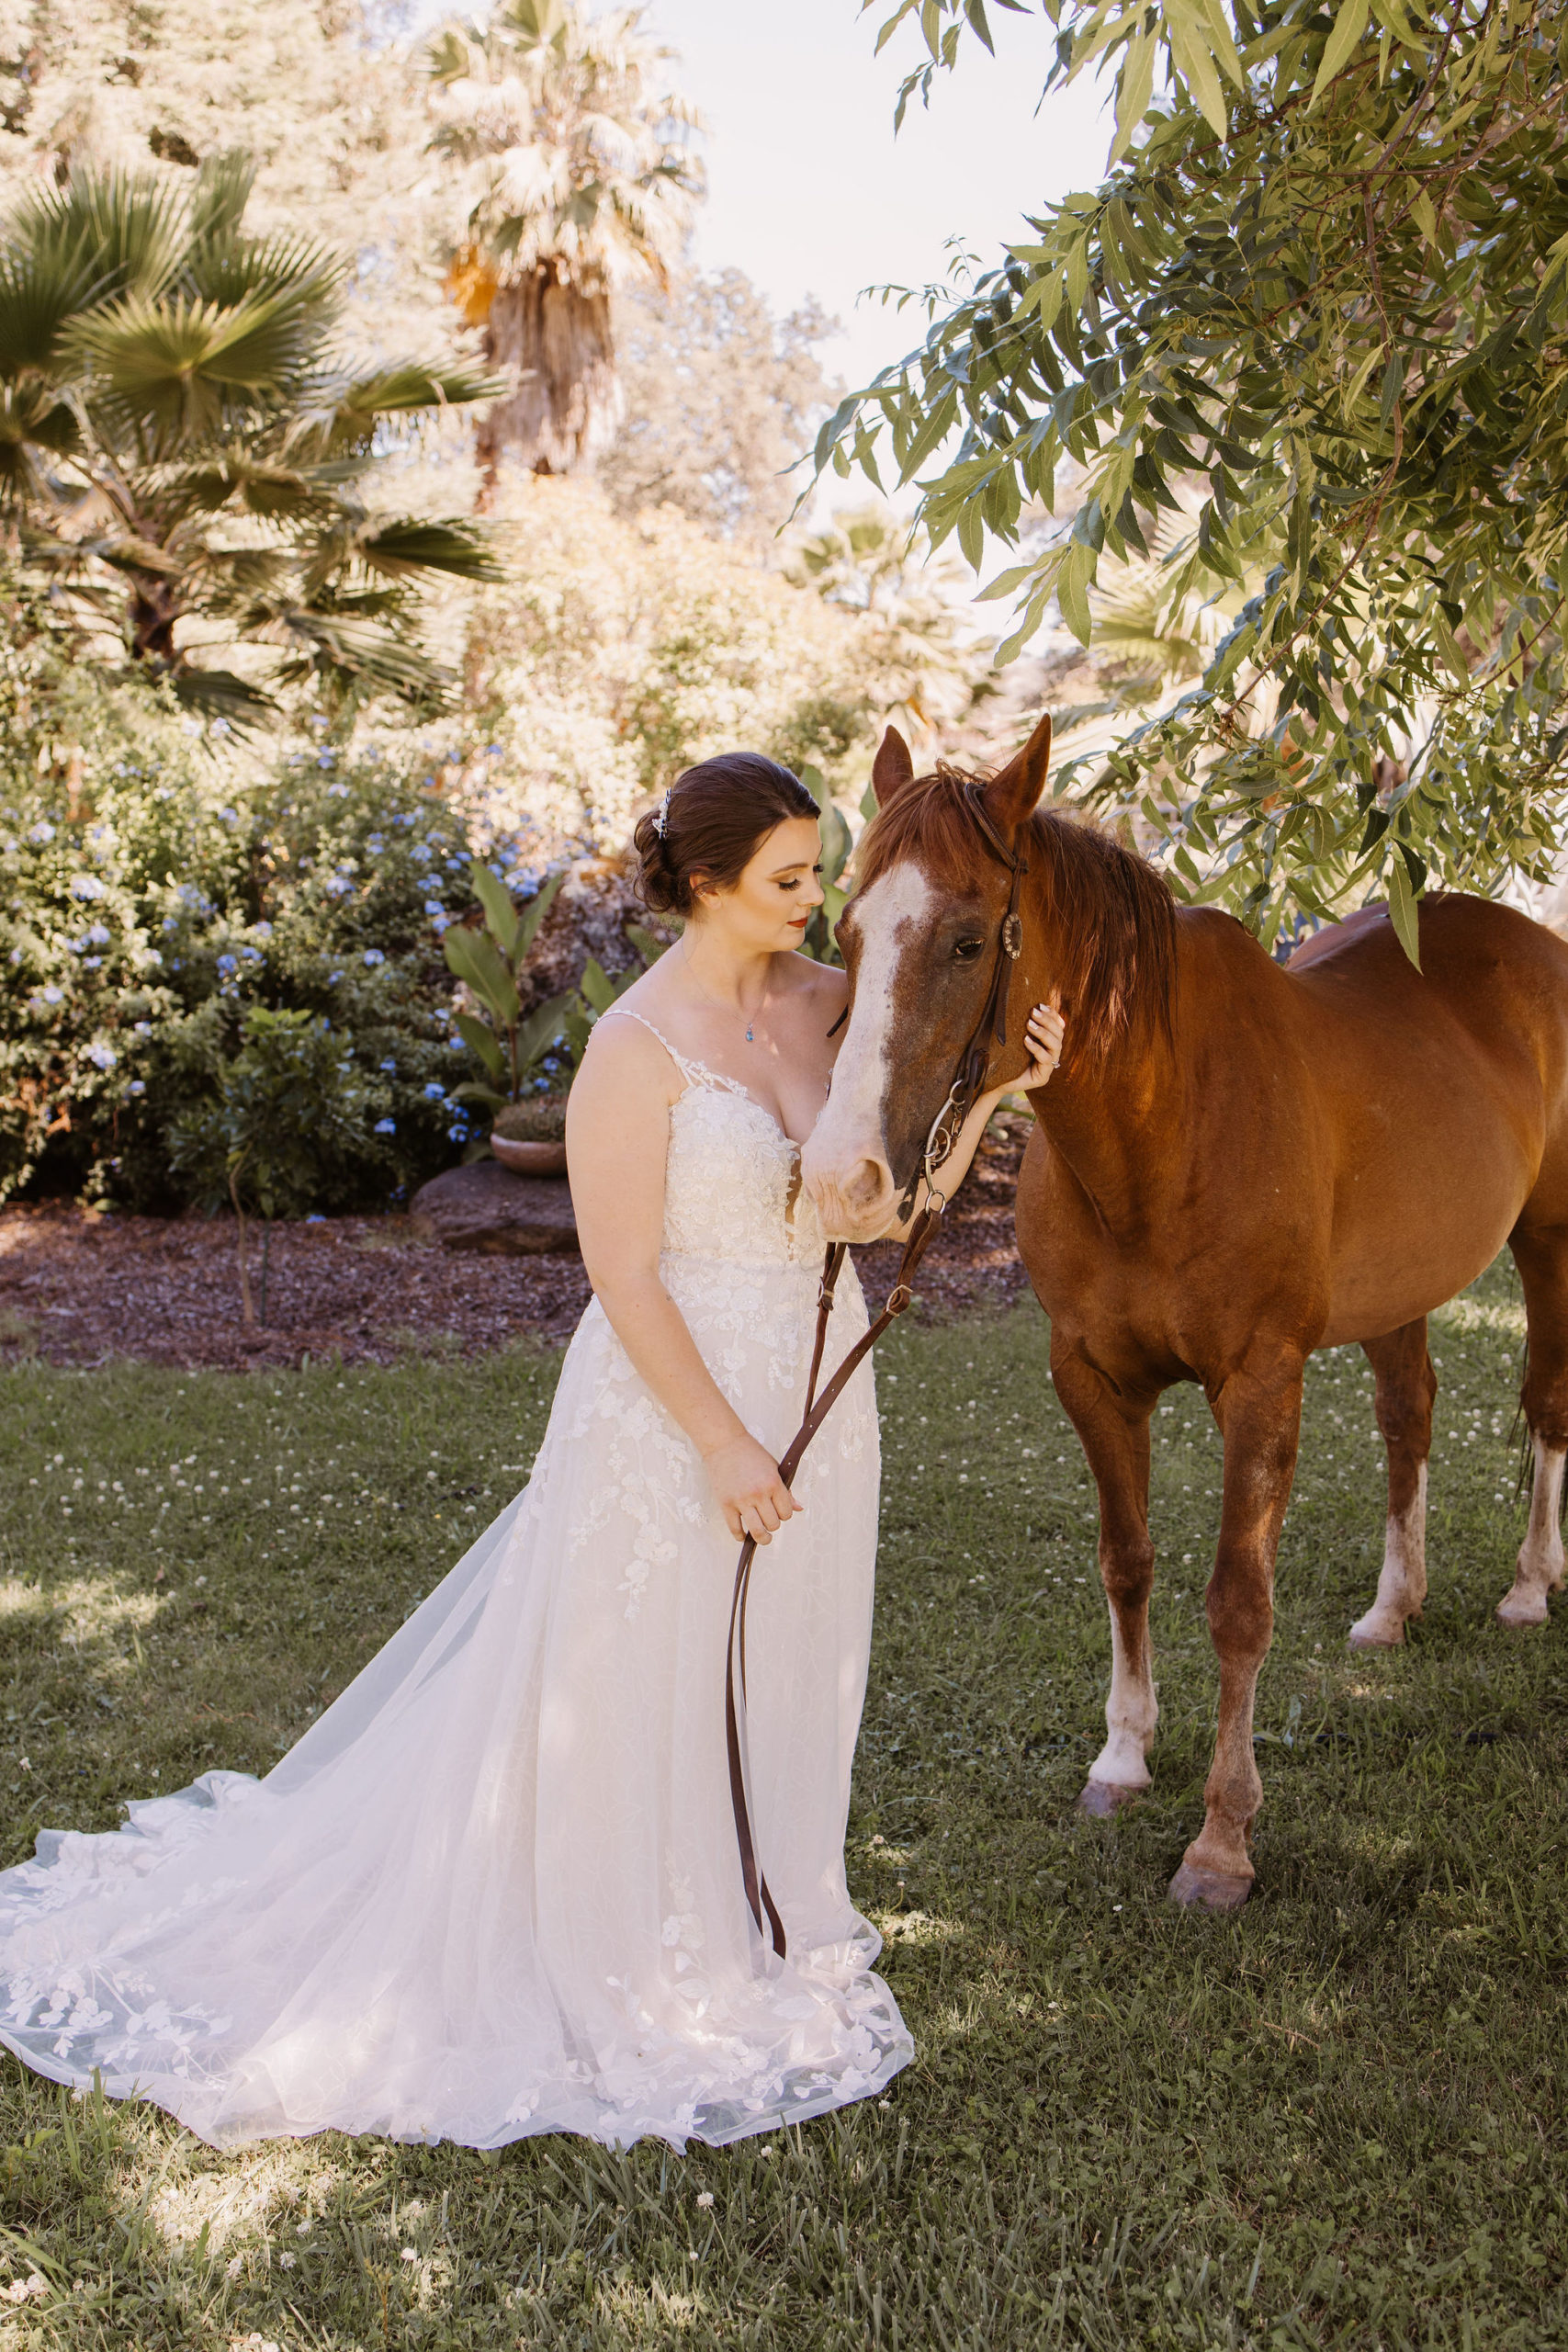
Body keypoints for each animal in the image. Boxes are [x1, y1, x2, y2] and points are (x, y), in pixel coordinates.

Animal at [808, 710, 1568, 1909]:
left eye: (969, 941)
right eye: (845, 931)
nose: (846, 1180)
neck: (1160, 1124)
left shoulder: (1259, 1384)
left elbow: (1238, 1601)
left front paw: (1221, 1840)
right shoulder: (1090, 1378)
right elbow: (1128, 1561)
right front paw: (1123, 1757)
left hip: (1547, 1241)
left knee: (1544, 1403)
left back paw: (1533, 1585)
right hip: (1403, 1285)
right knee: (1409, 1418)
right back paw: (1393, 1607)